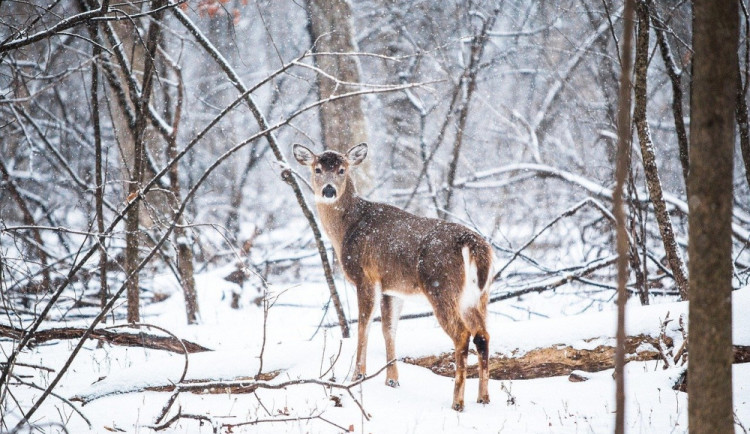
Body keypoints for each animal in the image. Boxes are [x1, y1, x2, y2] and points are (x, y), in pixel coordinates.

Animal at [292, 142, 494, 410]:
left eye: (342, 170)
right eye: (317, 169)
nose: (328, 190)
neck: (346, 229)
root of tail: (474, 245)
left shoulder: (365, 276)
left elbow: (364, 325)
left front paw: (358, 375)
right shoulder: (392, 288)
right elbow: (389, 329)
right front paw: (392, 380)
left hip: (441, 286)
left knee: (462, 335)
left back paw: (457, 402)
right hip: (478, 295)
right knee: (482, 335)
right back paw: (483, 397)